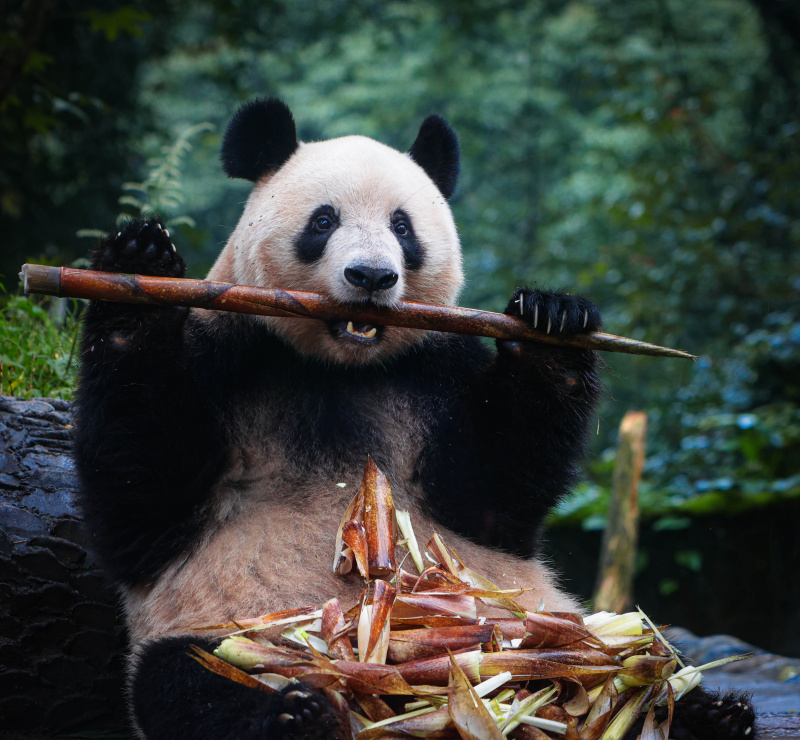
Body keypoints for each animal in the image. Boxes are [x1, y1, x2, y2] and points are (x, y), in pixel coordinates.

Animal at [73, 98, 757, 740]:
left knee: (645, 649)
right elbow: (142, 498)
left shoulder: (435, 372)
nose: (371, 277)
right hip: (241, 631)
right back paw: (300, 714)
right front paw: (136, 263)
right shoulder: (229, 350)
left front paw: (553, 320)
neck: (341, 366)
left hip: (543, 617)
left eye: (402, 227)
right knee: (188, 682)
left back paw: (706, 710)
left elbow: (493, 496)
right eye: (324, 221)